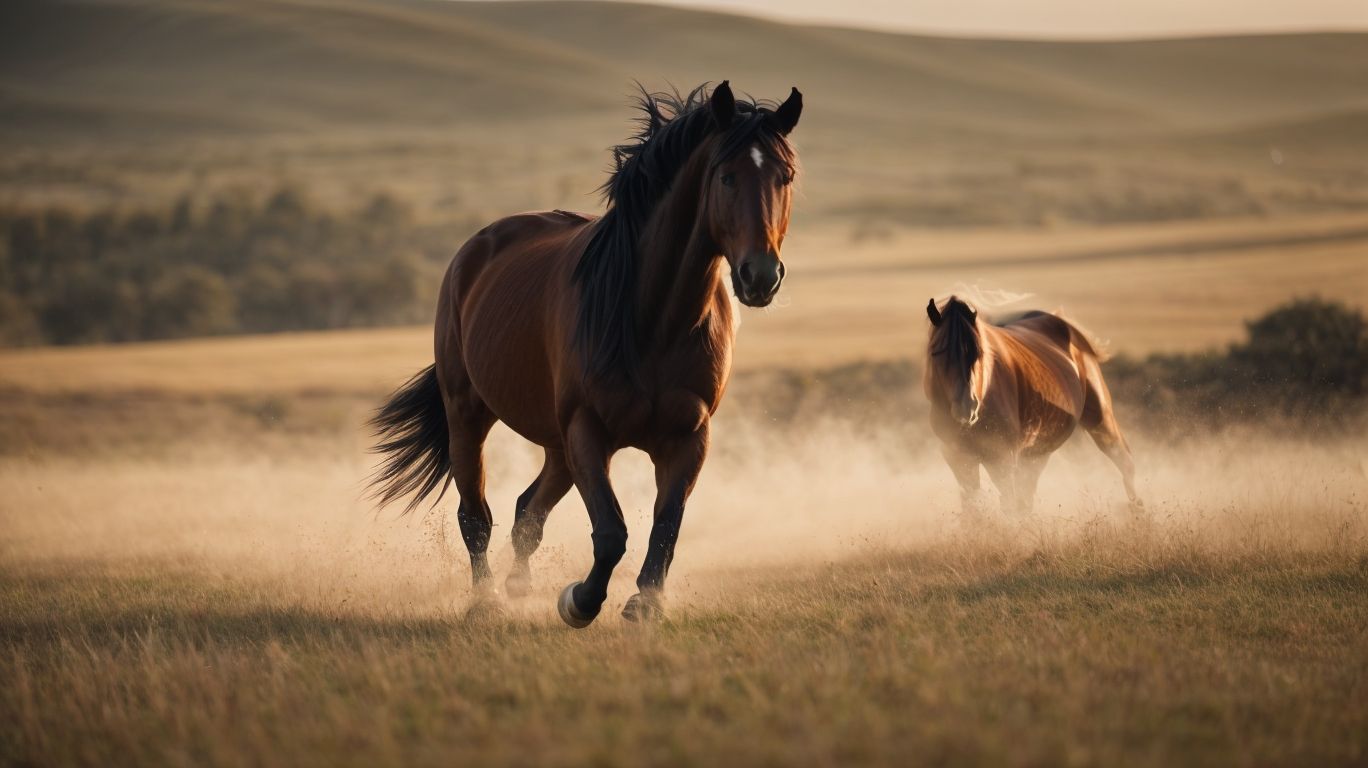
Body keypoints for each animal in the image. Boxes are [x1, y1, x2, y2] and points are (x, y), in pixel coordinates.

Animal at [368, 82, 802, 627]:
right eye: (726, 176)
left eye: (785, 177)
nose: (760, 276)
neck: (651, 320)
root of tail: (476, 249)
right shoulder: (588, 429)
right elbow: (612, 532)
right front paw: (580, 600)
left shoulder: (688, 436)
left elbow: (667, 525)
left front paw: (646, 603)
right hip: (469, 412)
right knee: (476, 515)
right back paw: (485, 602)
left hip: (556, 442)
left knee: (527, 511)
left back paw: (518, 584)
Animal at [923, 296, 1142, 516]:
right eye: (938, 352)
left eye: (978, 353)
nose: (966, 408)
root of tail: (1062, 322)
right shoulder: (958, 458)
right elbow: (973, 508)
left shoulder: (1002, 458)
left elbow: (1008, 505)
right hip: (1037, 452)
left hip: (1100, 419)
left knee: (1124, 461)